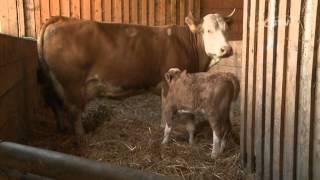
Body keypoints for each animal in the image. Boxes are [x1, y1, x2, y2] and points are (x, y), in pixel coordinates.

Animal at [37, 10, 235, 136]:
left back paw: (63, 128)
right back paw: (82, 137)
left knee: (56, 104)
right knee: (73, 110)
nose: (227, 49)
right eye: (208, 30)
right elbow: (166, 106)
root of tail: (62, 19)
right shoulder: (168, 82)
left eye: (227, 30)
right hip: (72, 83)